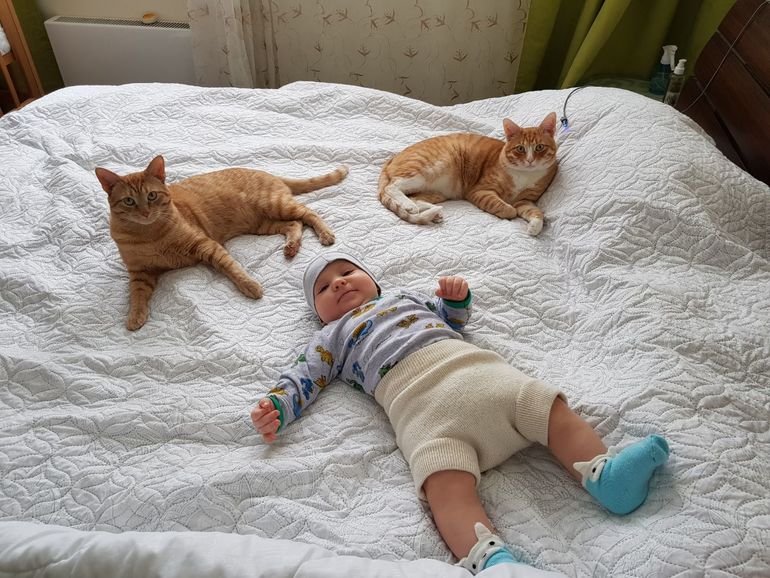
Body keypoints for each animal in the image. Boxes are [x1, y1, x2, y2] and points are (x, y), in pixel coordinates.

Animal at [95, 155, 347, 330]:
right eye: (129, 201)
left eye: (151, 196)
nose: (145, 213)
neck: (149, 234)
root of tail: (269, 174)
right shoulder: (140, 272)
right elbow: (136, 294)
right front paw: (135, 315)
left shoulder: (205, 245)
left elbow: (232, 268)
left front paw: (250, 286)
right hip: (264, 224)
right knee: (294, 224)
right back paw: (291, 247)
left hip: (275, 205)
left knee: (308, 214)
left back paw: (326, 235)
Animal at [378, 112, 558, 235]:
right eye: (520, 148)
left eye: (539, 147)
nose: (530, 160)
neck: (525, 175)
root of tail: (391, 159)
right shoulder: (480, 191)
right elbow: (506, 208)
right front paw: (510, 211)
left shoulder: (525, 200)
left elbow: (537, 212)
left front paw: (535, 227)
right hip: (428, 169)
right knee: (392, 187)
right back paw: (410, 206)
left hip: (435, 192)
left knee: (416, 199)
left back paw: (432, 212)